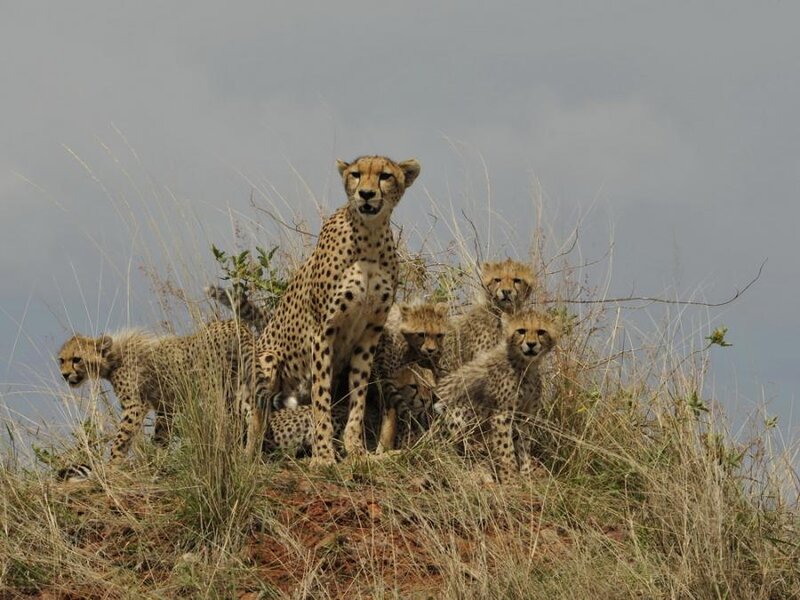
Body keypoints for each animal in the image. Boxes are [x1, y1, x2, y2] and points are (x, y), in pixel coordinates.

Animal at [57, 319, 265, 469]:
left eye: (77, 359)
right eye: (61, 360)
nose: (65, 375)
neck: (113, 358)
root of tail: (233, 323)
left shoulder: (135, 406)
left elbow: (121, 438)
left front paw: (112, 466)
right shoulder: (166, 405)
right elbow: (161, 434)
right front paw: (158, 459)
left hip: (213, 387)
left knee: (225, 420)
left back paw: (222, 452)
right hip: (238, 385)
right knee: (254, 415)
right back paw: (247, 454)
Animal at [250, 155, 421, 466]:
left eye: (385, 176)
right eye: (356, 174)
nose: (366, 194)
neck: (369, 236)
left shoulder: (369, 334)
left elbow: (358, 396)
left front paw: (356, 450)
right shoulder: (324, 331)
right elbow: (321, 397)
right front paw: (323, 456)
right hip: (267, 358)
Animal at [433, 308, 560, 483]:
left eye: (541, 332)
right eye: (521, 331)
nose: (531, 344)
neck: (526, 366)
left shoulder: (524, 416)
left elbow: (524, 447)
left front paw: (527, 476)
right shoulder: (501, 416)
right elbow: (506, 450)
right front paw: (510, 480)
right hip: (456, 412)